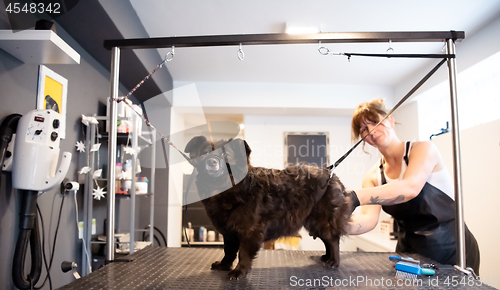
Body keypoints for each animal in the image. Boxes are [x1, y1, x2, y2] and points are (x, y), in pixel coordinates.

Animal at [186, 137, 354, 280]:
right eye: (205, 153)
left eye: (226, 154)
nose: (211, 161)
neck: (225, 188)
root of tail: (331, 174)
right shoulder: (228, 231)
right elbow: (228, 251)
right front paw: (224, 265)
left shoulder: (249, 231)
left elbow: (243, 253)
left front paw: (239, 271)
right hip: (313, 223)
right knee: (327, 240)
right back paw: (326, 257)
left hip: (322, 220)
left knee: (333, 240)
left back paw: (333, 261)